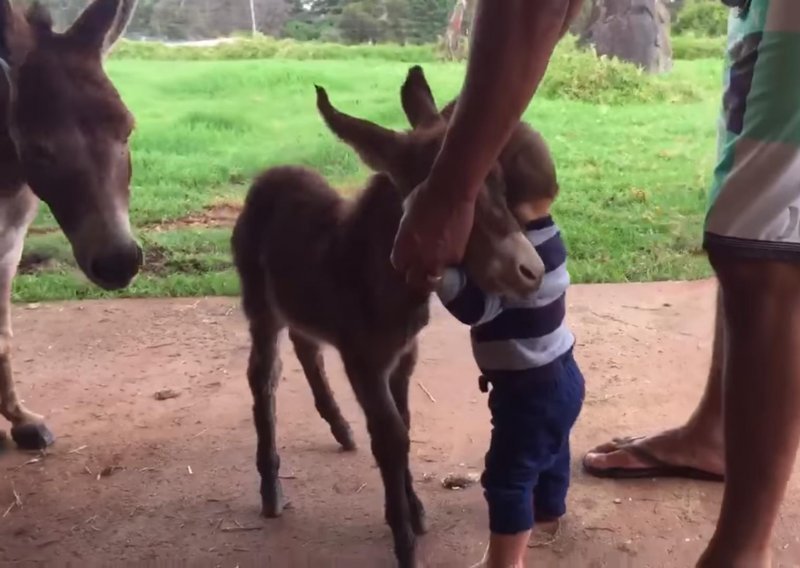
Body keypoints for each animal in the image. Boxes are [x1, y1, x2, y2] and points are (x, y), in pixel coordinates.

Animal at [0, 0, 141, 450]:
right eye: (38, 149)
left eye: (128, 129)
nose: (118, 262)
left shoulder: (10, 241)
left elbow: (2, 336)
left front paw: (21, 422)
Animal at [231, 72, 544, 568]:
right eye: (459, 202)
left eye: (498, 184)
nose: (531, 271)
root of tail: (270, 174)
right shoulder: (364, 361)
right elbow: (391, 437)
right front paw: (405, 541)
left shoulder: (404, 356)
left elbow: (405, 426)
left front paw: (413, 511)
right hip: (261, 307)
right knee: (264, 376)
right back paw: (271, 489)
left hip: (299, 305)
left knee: (307, 346)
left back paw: (340, 428)